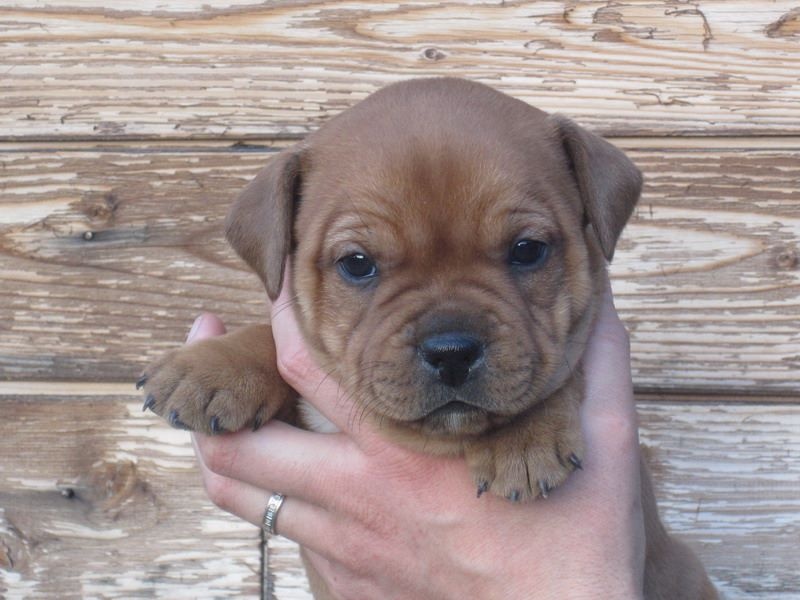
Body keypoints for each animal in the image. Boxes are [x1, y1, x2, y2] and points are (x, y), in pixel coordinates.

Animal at [139, 77, 717, 599]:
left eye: (527, 250)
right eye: (357, 264)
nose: (452, 352)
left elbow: (555, 374)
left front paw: (522, 436)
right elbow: (276, 345)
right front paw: (212, 368)